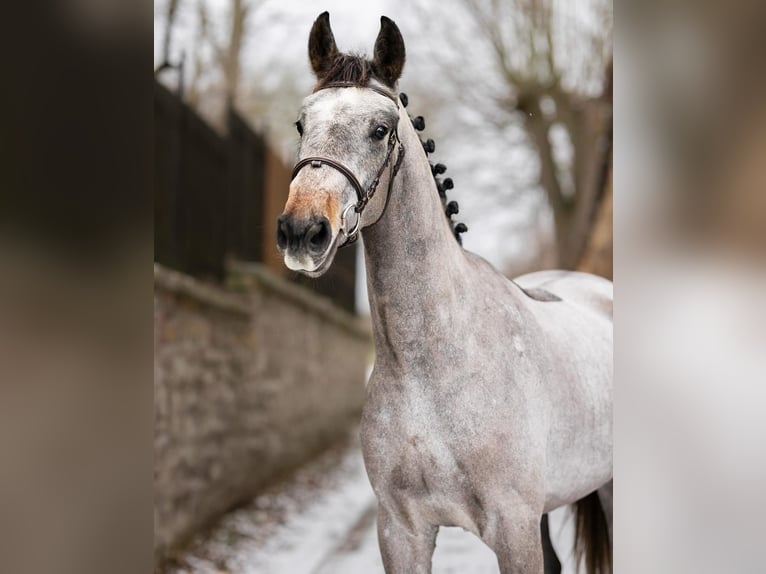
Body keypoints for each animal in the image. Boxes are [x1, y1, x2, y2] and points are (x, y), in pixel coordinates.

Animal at [277, 12, 613, 574]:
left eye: (380, 129)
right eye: (302, 123)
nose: (303, 231)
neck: (431, 364)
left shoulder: (514, 532)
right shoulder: (401, 532)